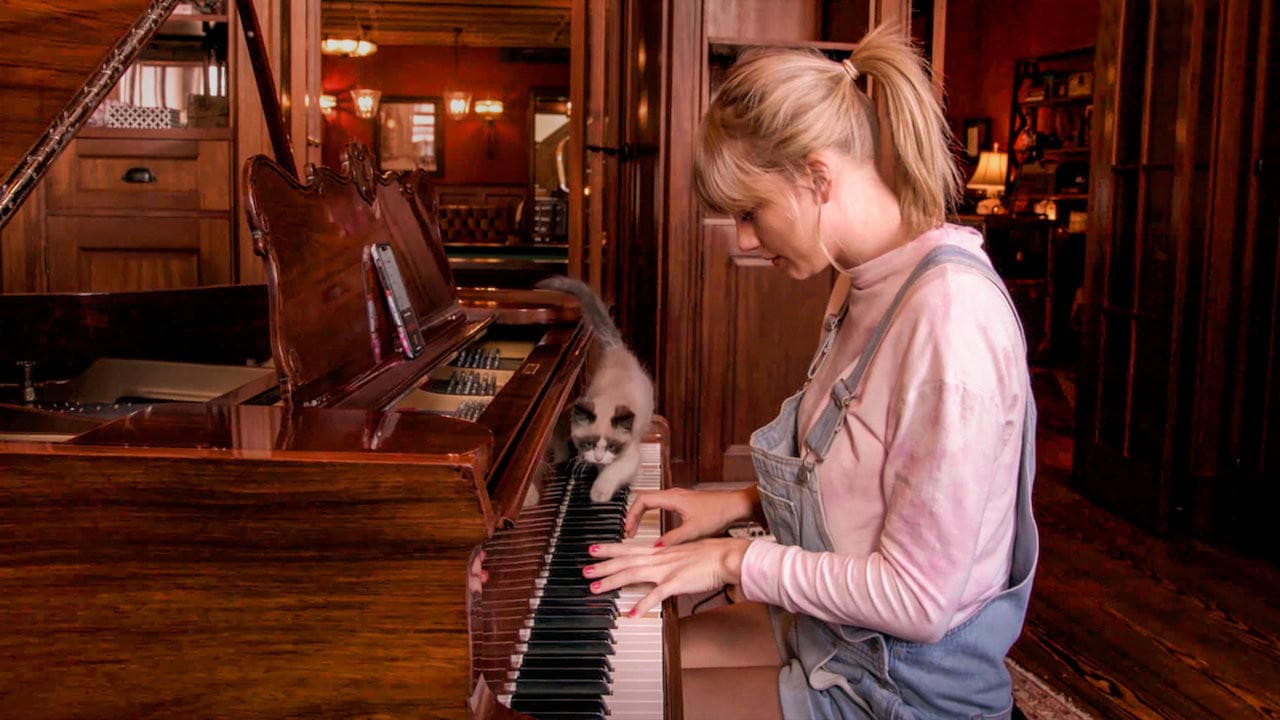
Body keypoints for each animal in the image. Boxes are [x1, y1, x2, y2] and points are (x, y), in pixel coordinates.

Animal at [540, 271, 660, 502]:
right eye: (589, 444)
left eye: (611, 446)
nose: (598, 457)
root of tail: (616, 349)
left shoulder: (629, 455)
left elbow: (611, 472)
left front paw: (598, 494)